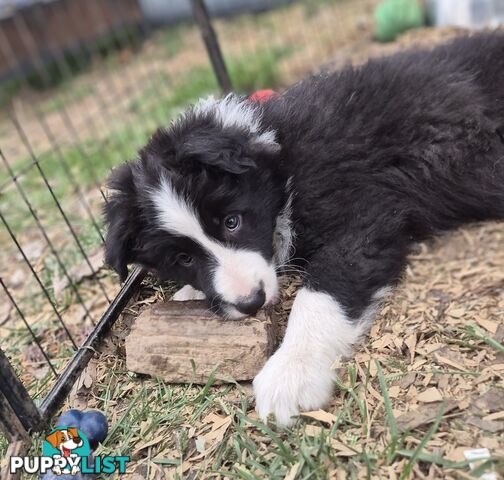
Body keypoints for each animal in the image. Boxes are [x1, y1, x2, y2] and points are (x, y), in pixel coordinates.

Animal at [103, 34, 504, 428]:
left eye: (232, 222)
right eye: (183, 258)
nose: (249, 303)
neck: (282, 162)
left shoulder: (365, 217)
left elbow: (320, 291)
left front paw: (291, 372)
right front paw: (189, 292)